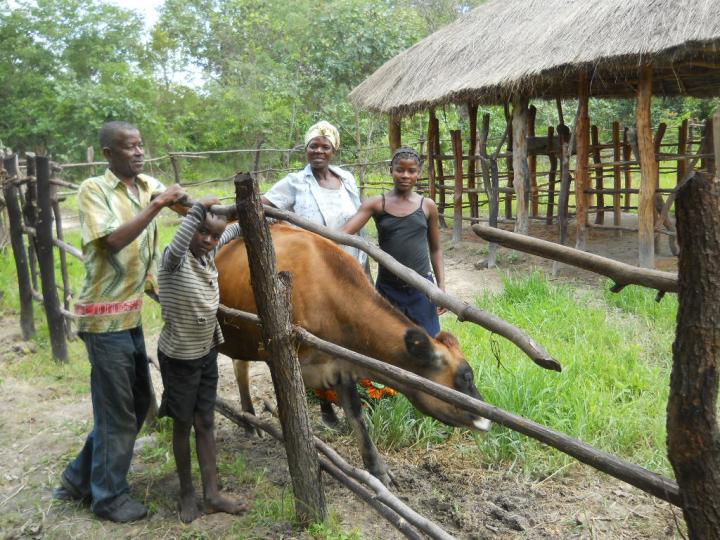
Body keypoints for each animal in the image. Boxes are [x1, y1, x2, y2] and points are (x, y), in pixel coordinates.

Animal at [215, 223, 491, 485]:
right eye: (466, 377)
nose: (487, 420)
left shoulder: (340, 364)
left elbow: (357, 417)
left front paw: (379, 472)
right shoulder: (278, 355)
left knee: (240, 366)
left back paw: (249, 422)